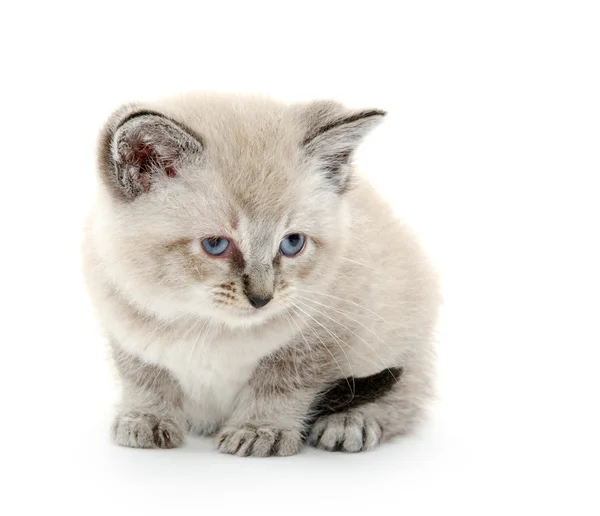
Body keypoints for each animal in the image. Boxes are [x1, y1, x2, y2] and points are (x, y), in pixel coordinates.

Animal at [82, 91, 440, 456]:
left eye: (292, 243)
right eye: (215, 245)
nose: (261, 298)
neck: (204, 323)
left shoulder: (326, 327)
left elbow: (281, 382)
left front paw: (260, 429)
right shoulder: (126, 322)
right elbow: (145, 376)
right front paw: (146, 418)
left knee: (405, 393)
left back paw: (349, 423)